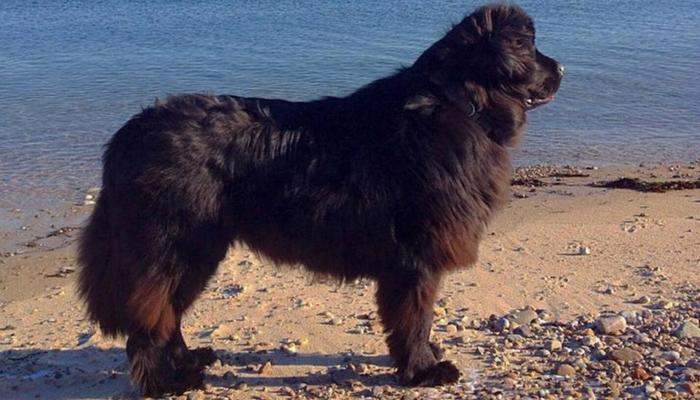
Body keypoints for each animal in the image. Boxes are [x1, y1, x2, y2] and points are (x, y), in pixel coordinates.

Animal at [78, 3, 564, 396]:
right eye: (529, 46)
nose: (561, 69)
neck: (460, 103)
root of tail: (127, 135)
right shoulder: (416, 260)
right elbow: (416, 315)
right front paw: (424, 370)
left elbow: (416, 318)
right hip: (175, 247)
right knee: (152, 320)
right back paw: (168, 383)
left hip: (194, 252)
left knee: (168, 315)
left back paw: (188, 361)